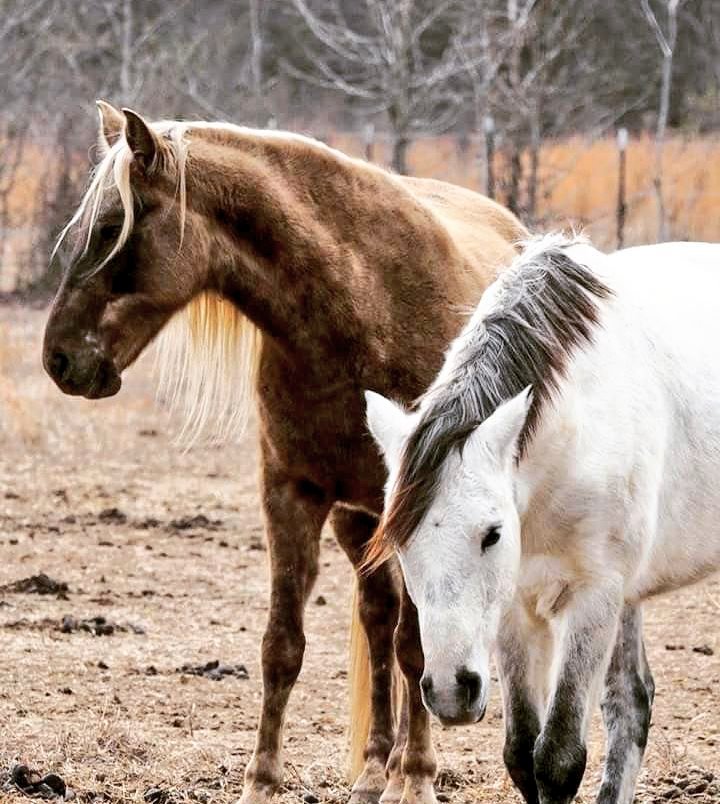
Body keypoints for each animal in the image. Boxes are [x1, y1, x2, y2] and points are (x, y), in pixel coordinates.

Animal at [42, 101, 528, 804]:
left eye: (111, 227)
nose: (58, 358)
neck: (358, 305)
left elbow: (418, 645)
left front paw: (417, 778)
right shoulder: (290, 492)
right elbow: (283, 645)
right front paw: (262, 782)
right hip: (357, 520)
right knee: (376, 620)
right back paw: (373, 770)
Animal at [365, 234, 720, 804]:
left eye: (492, 534)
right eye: (401, 547)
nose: (449, 690)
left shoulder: (594, 597)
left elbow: (556, 757)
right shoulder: (518, 605)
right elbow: (522, 754)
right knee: (631, 702)